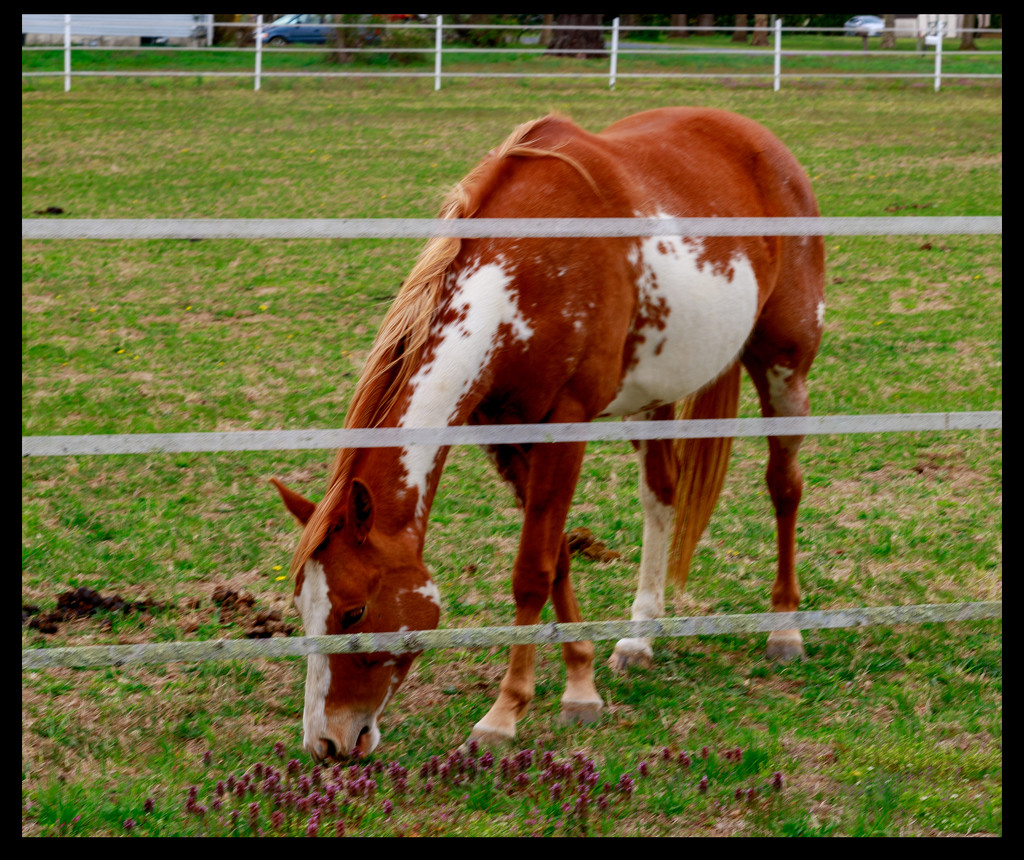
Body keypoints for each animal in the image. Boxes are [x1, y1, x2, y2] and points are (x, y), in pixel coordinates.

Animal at [270, 105, 823, 757]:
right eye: (302, 607)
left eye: (354, 613)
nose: (327, 742)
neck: (525, 271)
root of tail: (760, 140)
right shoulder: (506, 434)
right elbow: (556, 555)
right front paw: (581, 686)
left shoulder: (565, 425)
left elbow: (531, 570)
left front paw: (503, 714)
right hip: (655, 397)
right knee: (661, 497)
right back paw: (640, 635)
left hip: (784, 362)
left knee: (784, 486)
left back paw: (784, 628)